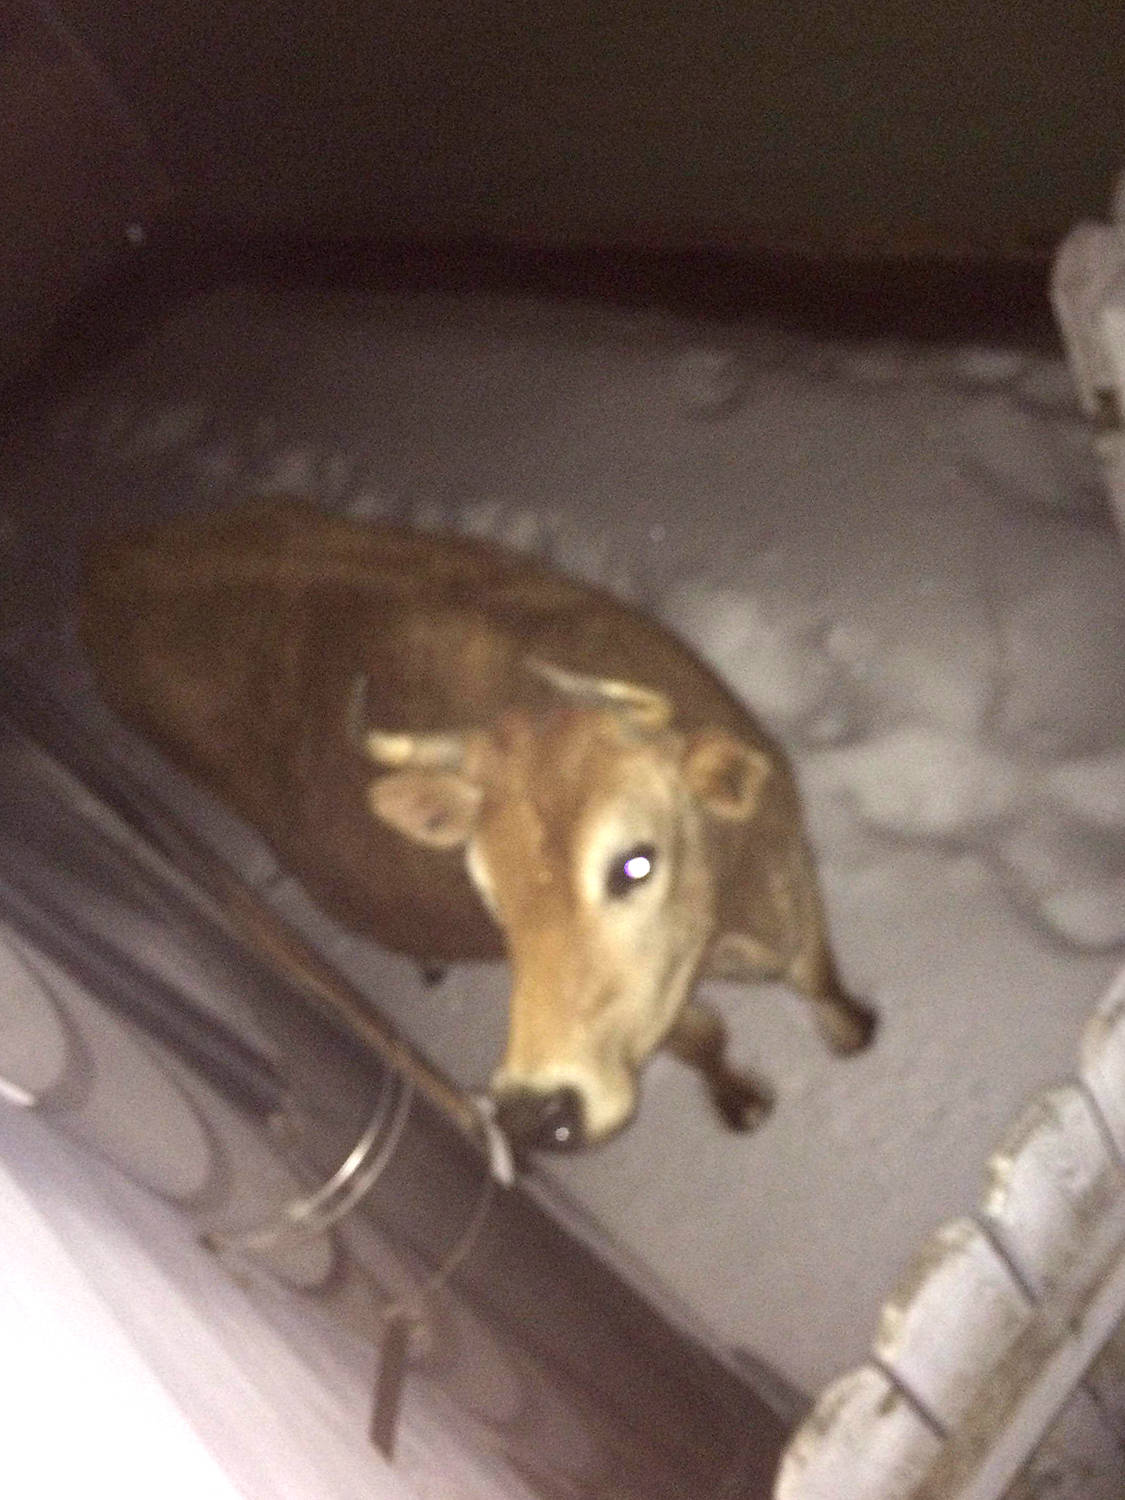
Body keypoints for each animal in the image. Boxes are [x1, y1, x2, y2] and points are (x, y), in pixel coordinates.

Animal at [81, 501, 882, 1146]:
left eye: (635, 862)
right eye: (492, 897)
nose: (535, 1111)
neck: (739, 908)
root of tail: (115, 559)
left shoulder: (792, 872)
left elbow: (819, 975)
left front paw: (854, 1031)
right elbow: (704, 1037)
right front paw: (743, 1103)